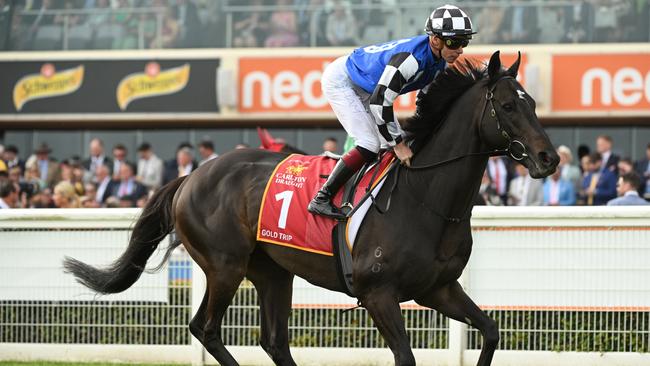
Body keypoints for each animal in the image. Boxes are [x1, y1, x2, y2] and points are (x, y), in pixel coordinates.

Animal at [64, 52, 556, 366]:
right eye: (508, 105)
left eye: (533, 103)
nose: (549, 158)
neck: (426, 197)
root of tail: (192, 176)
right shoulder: (379, 293)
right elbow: (405, 356)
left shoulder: (438, 288)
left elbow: (490, 331)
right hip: (225, 265)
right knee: (206, 328)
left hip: (272, 272)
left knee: (275, 343)